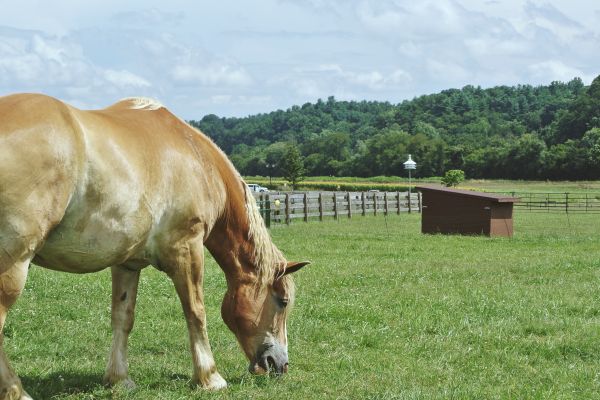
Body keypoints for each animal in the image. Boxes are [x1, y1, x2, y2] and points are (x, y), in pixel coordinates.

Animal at [0, 93, 310, 396]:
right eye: (282, 301)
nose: (281, 364)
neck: (197, 158)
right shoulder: (188, 251)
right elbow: (196, 312)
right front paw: (210, 377)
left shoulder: (127, 263)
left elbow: (123, 317)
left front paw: (119, 379)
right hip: (14, 265)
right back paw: (18, 391)